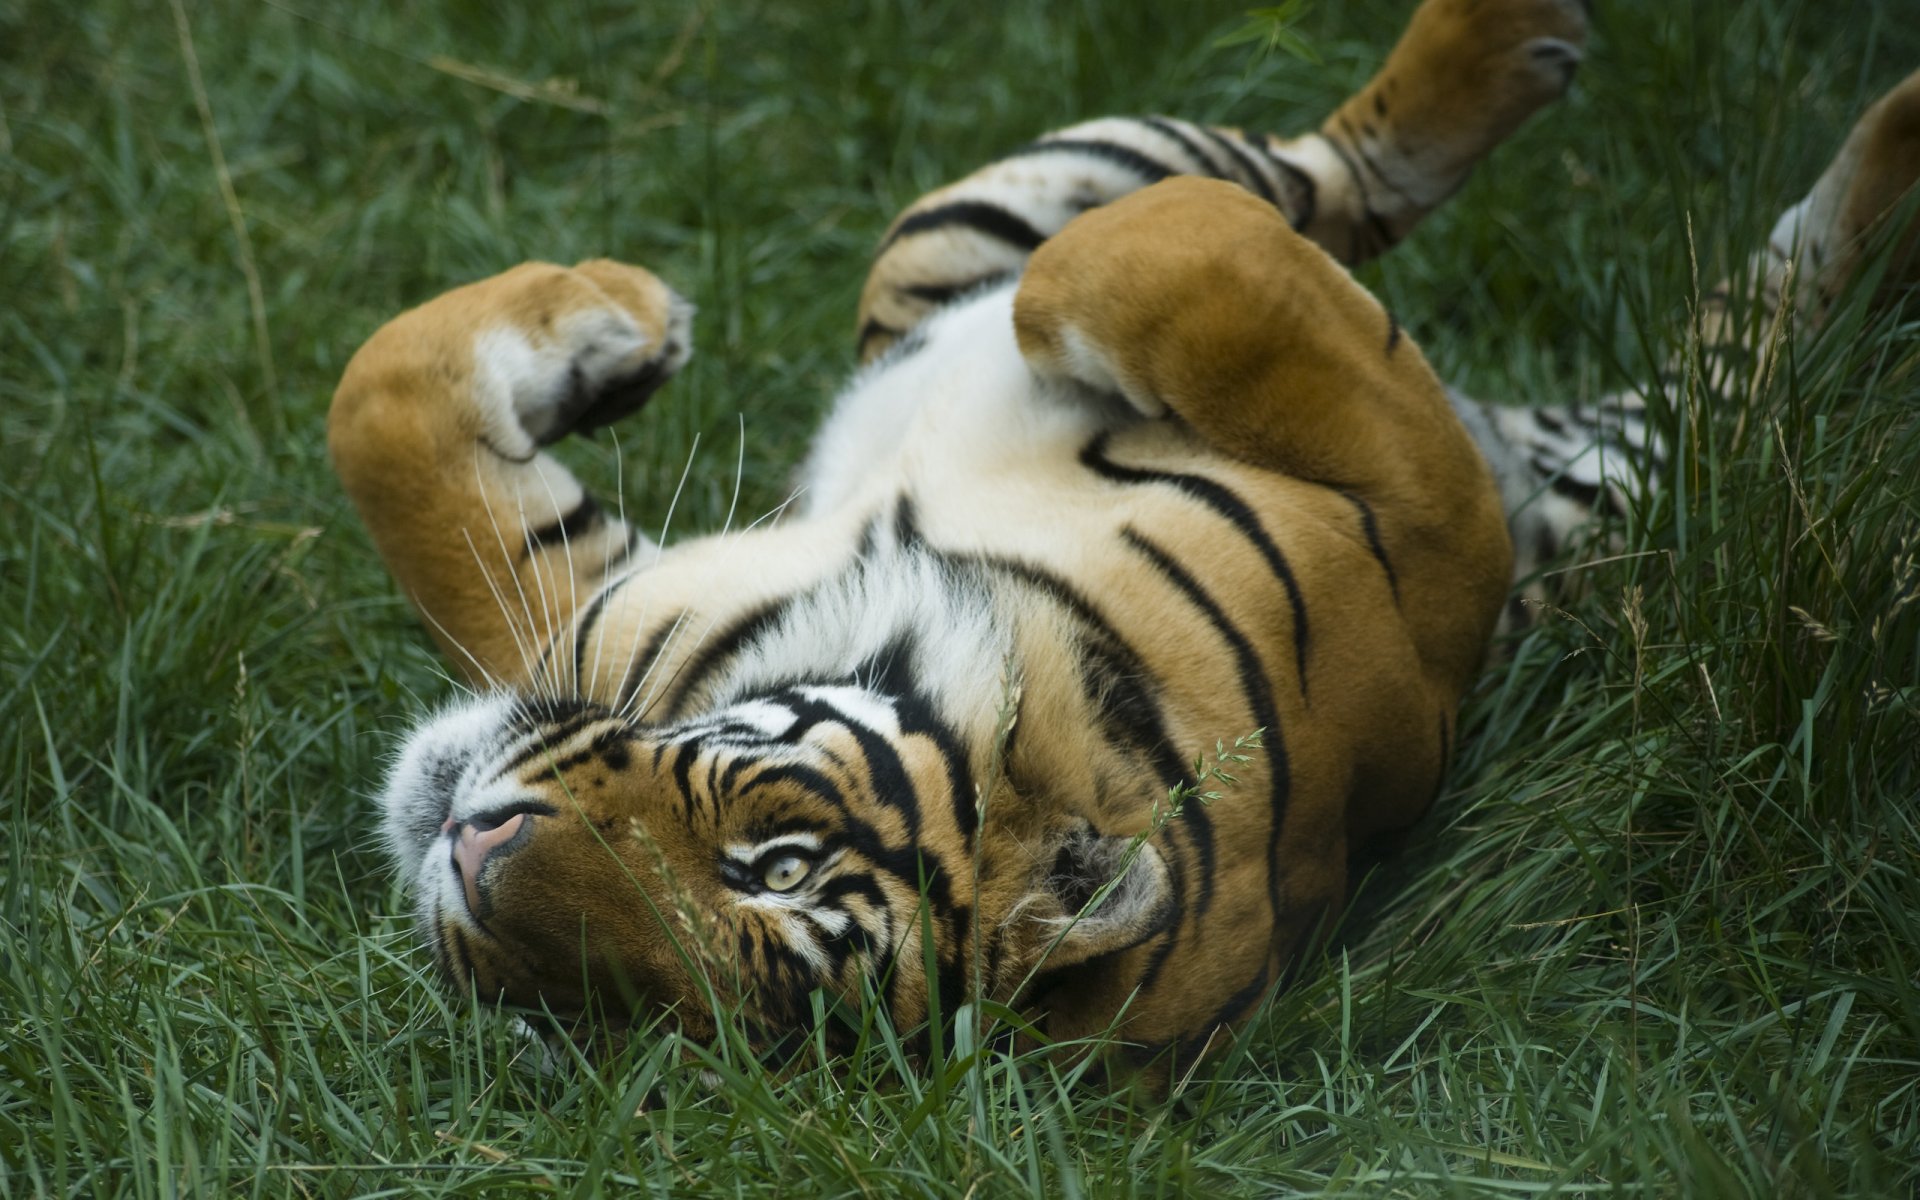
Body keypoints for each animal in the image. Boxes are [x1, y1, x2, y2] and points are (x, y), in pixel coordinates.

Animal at [330, 0, 1920, 1075]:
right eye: (575, 1003)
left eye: (774, 868)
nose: (471, 852)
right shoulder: (602, 619)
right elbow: (383, 406)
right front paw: (621, 331)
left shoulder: (1426, 529)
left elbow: (1154, 262)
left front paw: (627, 332)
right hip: (969, 234)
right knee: (1327, 185)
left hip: (988, 229)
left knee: (1286, 190)